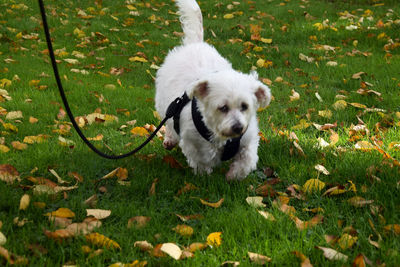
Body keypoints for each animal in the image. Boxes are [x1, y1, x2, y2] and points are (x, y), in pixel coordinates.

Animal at [155, 0, 270, 182]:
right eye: (222, 108)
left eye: (244, 106)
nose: (237, 127)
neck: (221, 137)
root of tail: (195, 44)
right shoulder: (192, 142)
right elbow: (201, 161)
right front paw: (205, 176)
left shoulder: (248, 139)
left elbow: (246, 160)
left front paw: (233, 176)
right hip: (165, 104)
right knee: (168, 123)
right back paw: (170, 139)